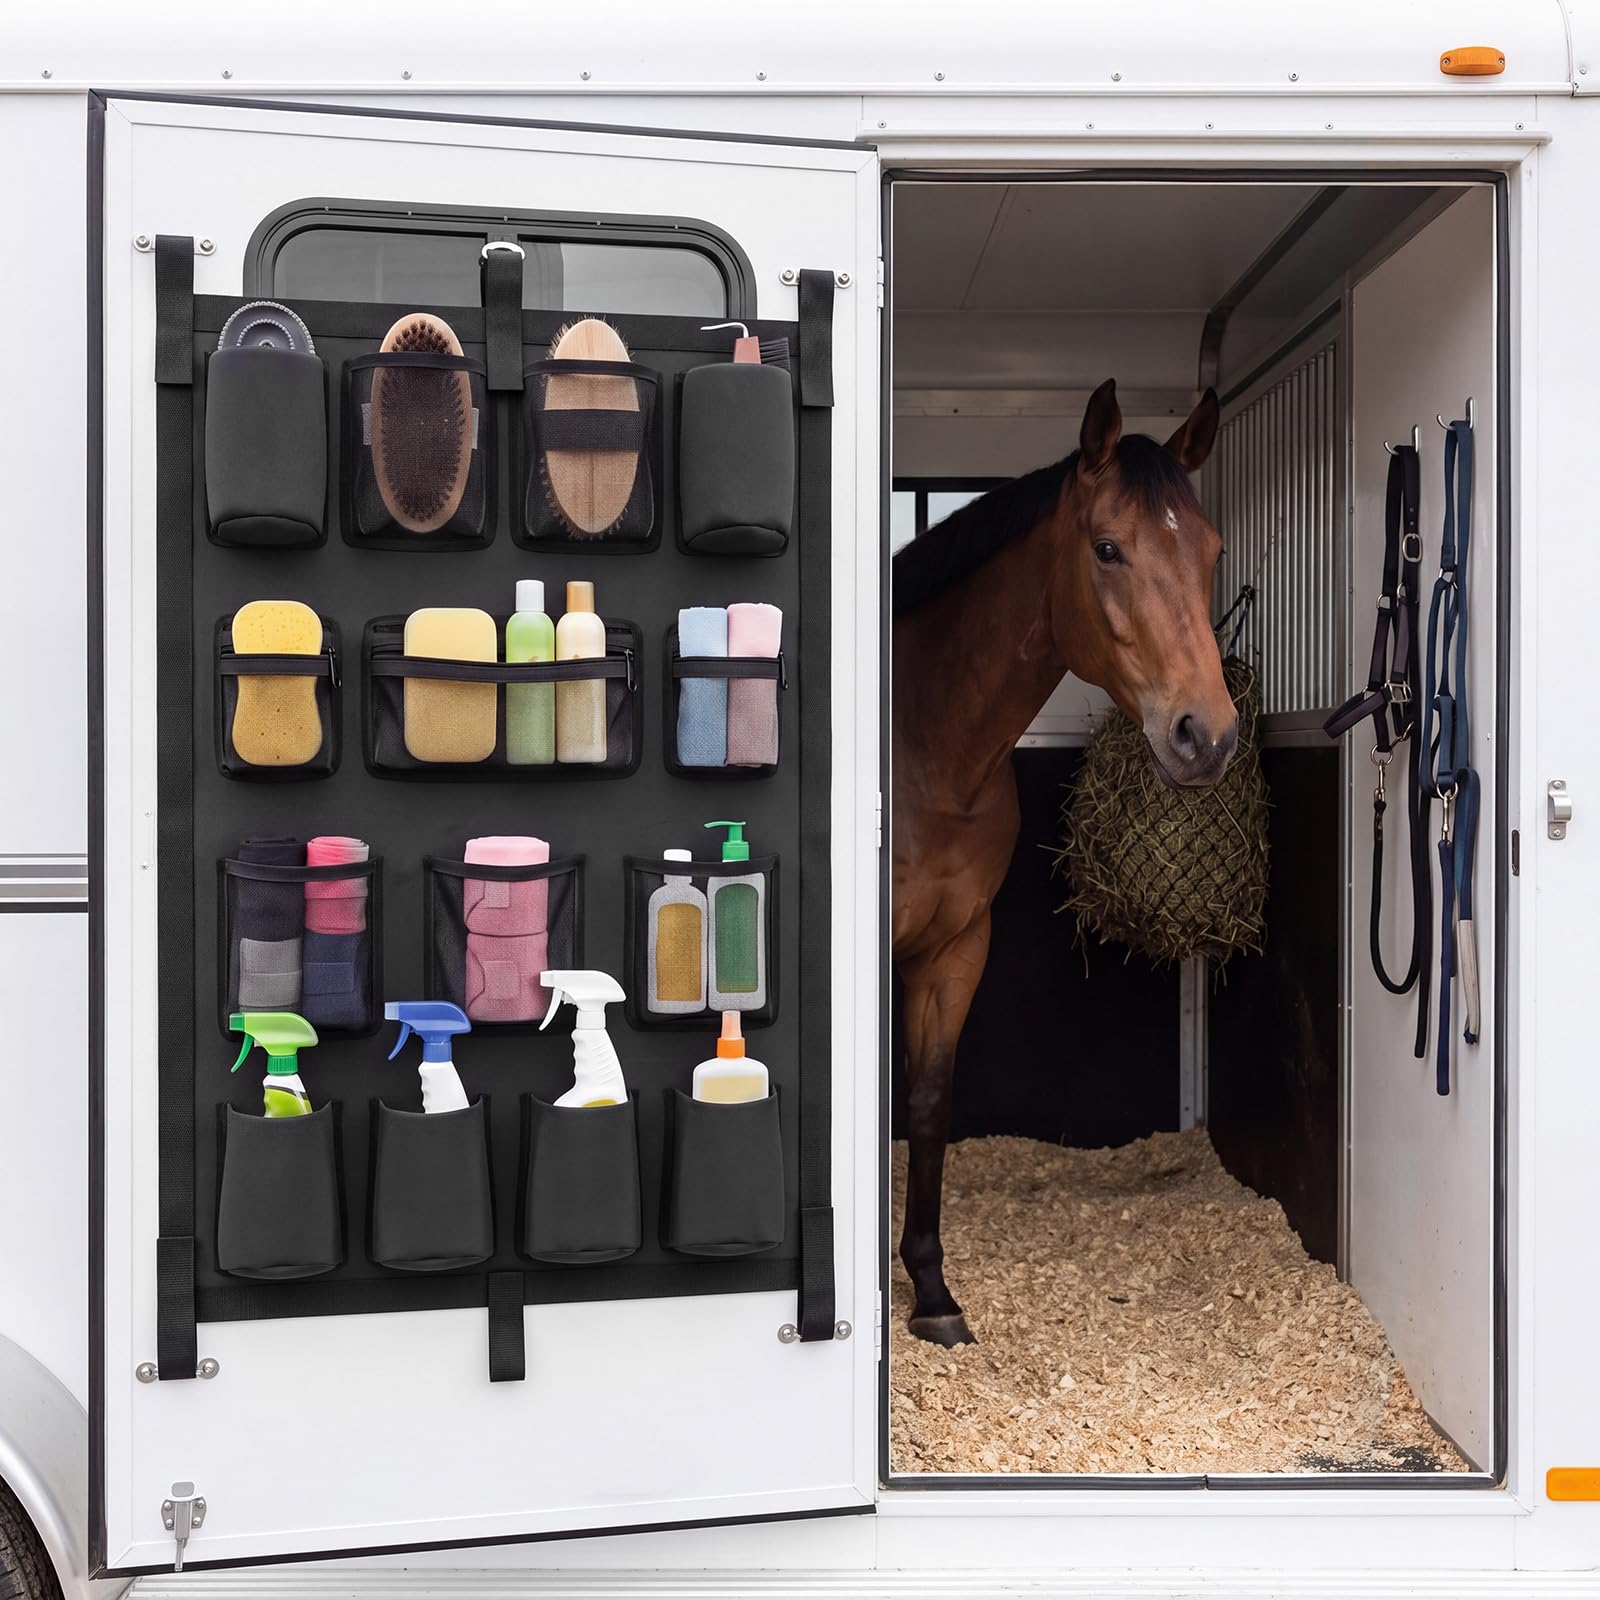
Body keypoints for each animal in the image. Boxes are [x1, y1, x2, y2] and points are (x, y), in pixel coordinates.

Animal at [891, 378, 1238, 1348]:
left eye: (1211, 550)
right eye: (1108, 547)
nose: (1206, 736)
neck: (924, 745)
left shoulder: (956, 945)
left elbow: (928, 1104)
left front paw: (931, 1291)